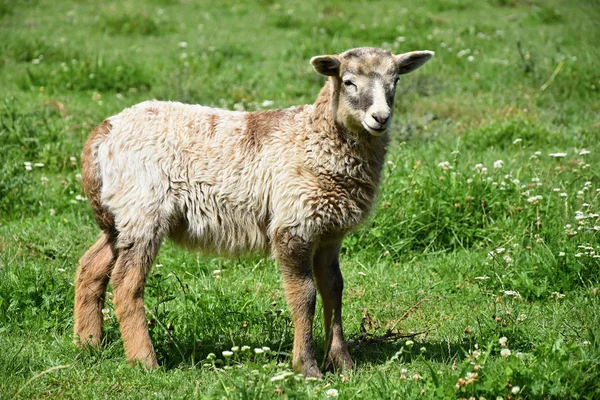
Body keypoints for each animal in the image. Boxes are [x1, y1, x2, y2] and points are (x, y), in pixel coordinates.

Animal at [75, 47, 434, 378]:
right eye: (348, 81)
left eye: (395, 81)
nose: (381, 117)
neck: (313, 137)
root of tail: (105, 131)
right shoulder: (293, 224)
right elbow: (304, 295)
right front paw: (307, 367)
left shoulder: (329, 231)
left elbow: (334, 290)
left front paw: (343, 363)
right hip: (144, 208)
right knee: (126, 284)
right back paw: (144, 361)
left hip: (120, 212)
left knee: (91, 266)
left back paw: (88, 343)